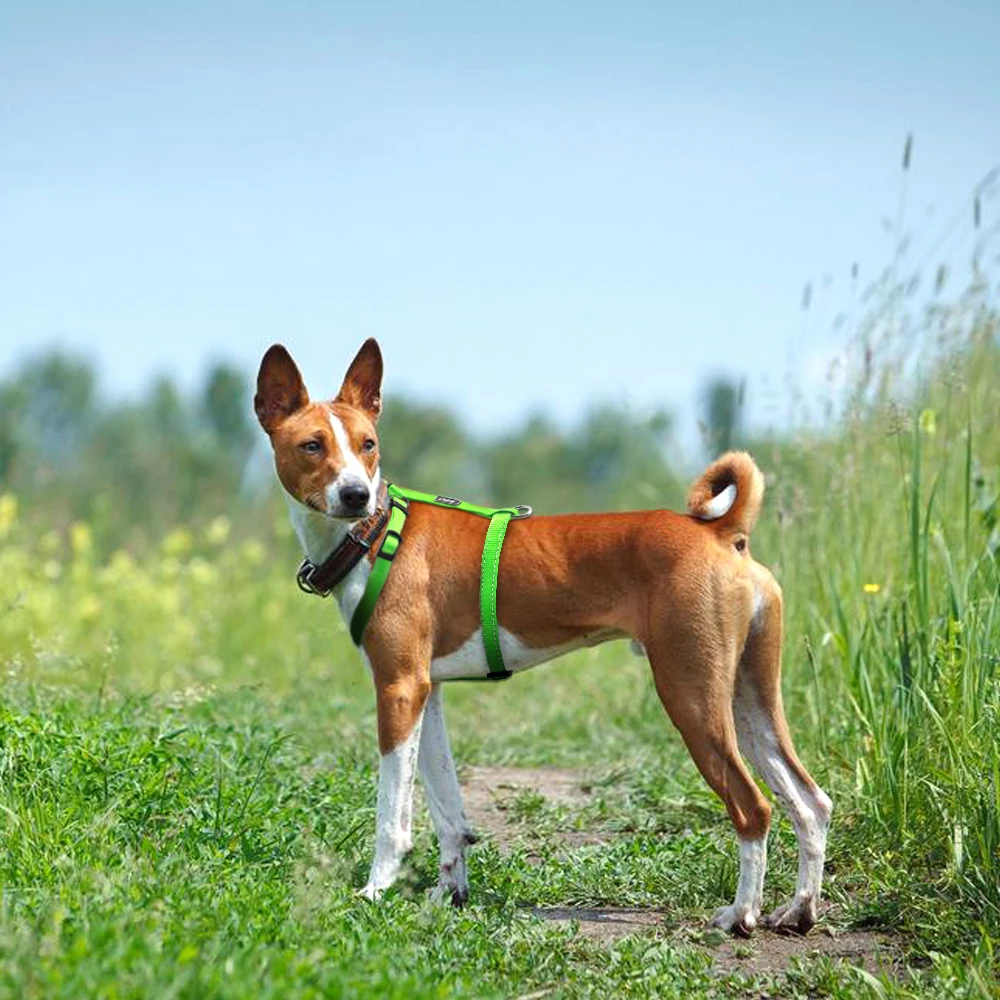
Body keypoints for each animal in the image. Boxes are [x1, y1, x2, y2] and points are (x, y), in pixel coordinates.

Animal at [254, 340, 832, 932]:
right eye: (311, 445)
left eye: (367, 445)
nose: (355, 494)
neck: (372, 536)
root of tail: (721, 532)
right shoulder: (425, 693)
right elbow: (448, 810)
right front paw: (448, 896)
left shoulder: (398, 689)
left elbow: (393, 816)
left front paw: (375, 891)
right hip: (749, 697)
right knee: (810, 801)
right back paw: (799, 909)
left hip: (691, 695)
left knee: (754, 806)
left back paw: (742, 914)